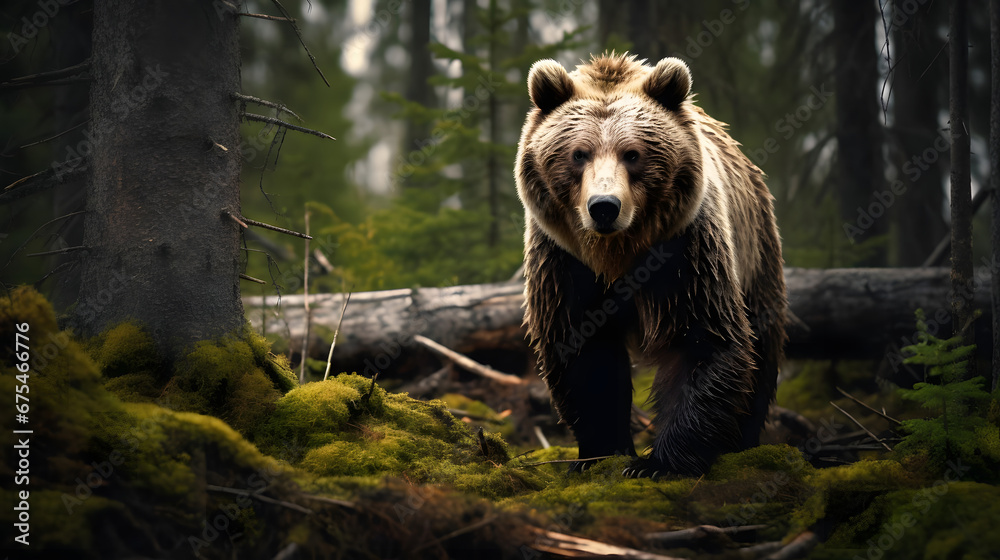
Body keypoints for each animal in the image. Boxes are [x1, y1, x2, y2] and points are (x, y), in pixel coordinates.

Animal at [515, 53, 786, 478]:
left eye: (632, 153)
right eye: (579, 153)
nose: (604, 206)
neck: (615, 253)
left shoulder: (685, 249)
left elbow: (702, 338)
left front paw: (659, 463)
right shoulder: (564, 259)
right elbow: (584, 350)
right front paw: (601, 454)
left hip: (756, 250)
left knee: (762, 342)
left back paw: (742, 441)